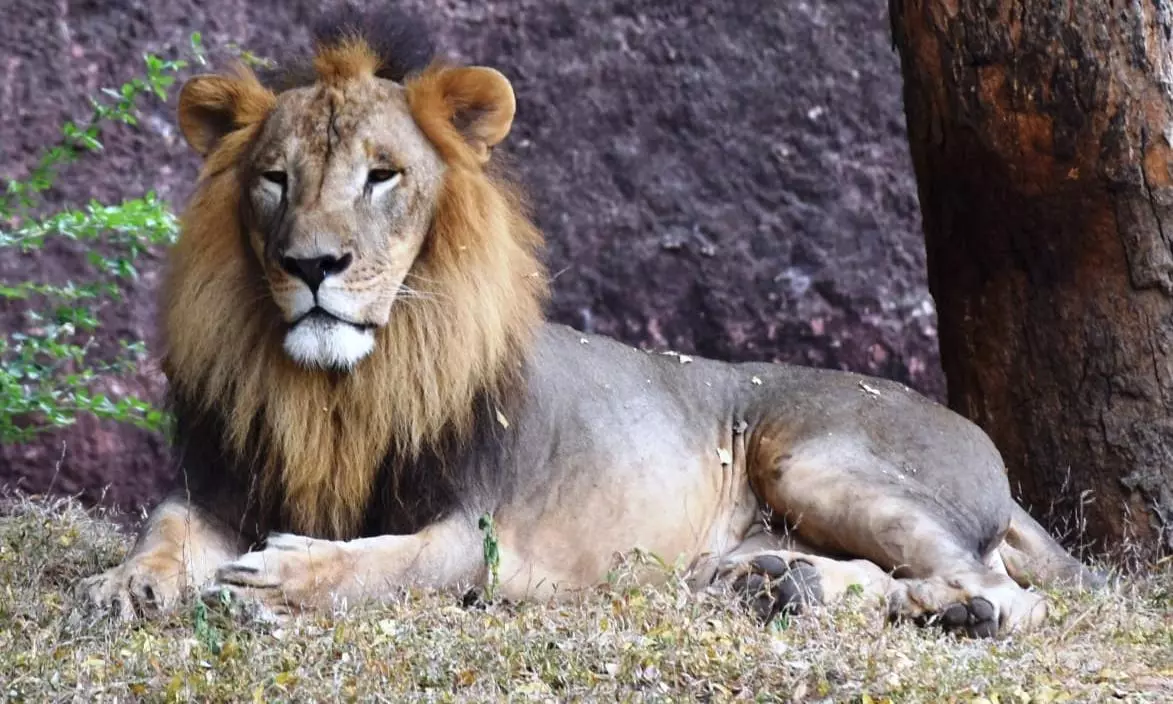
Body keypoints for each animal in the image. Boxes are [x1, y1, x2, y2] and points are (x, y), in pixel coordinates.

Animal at [83, 10, 1103, 638]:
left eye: (381, 175)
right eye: (274, 178)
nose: (311, 266)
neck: (342, 388)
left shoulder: (484, 533)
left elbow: (390, 564)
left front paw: (285, 576)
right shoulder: (224, 484)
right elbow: (165, 523)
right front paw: (126, 583)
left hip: (814, 457)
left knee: (1006, 595)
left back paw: (943, 610)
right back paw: (784, 583)